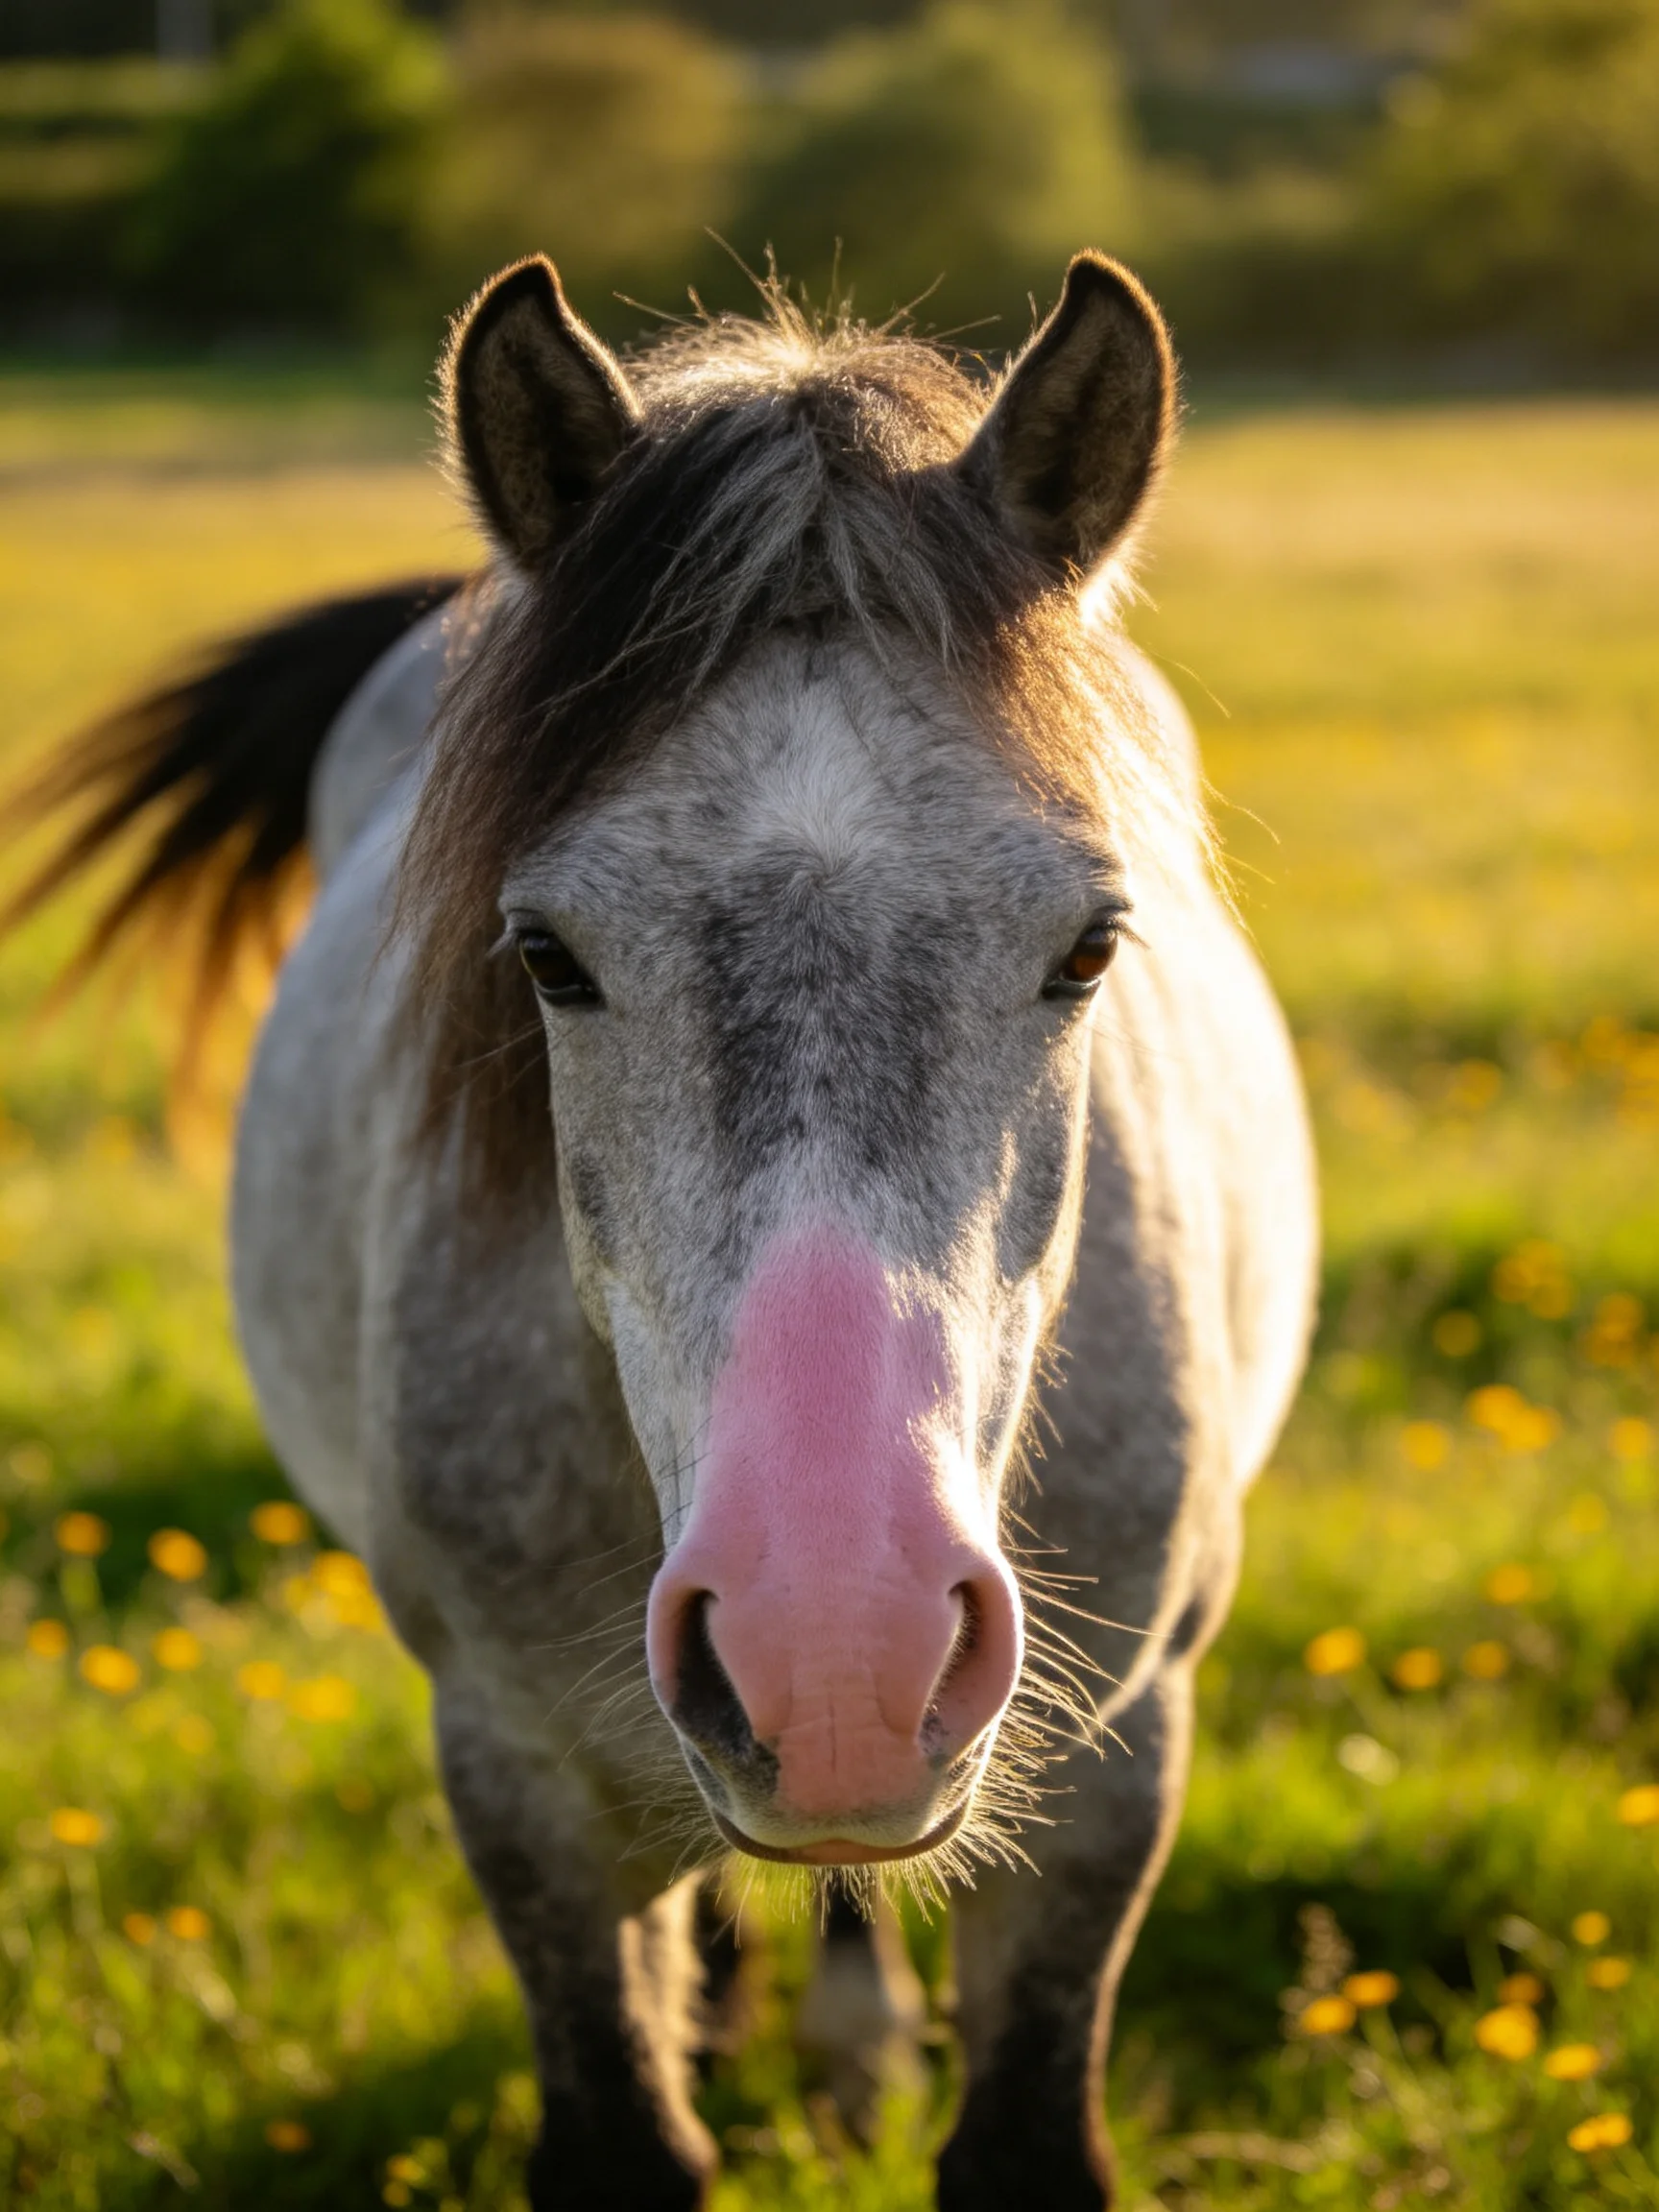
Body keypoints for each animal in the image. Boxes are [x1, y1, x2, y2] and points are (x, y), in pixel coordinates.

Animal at [8, 251, 1316, 2209]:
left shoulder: (1115, 1760)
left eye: (1090, 943)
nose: (835, 1655)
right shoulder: (517, 1772)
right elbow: (625, 2124)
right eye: (545, 954)